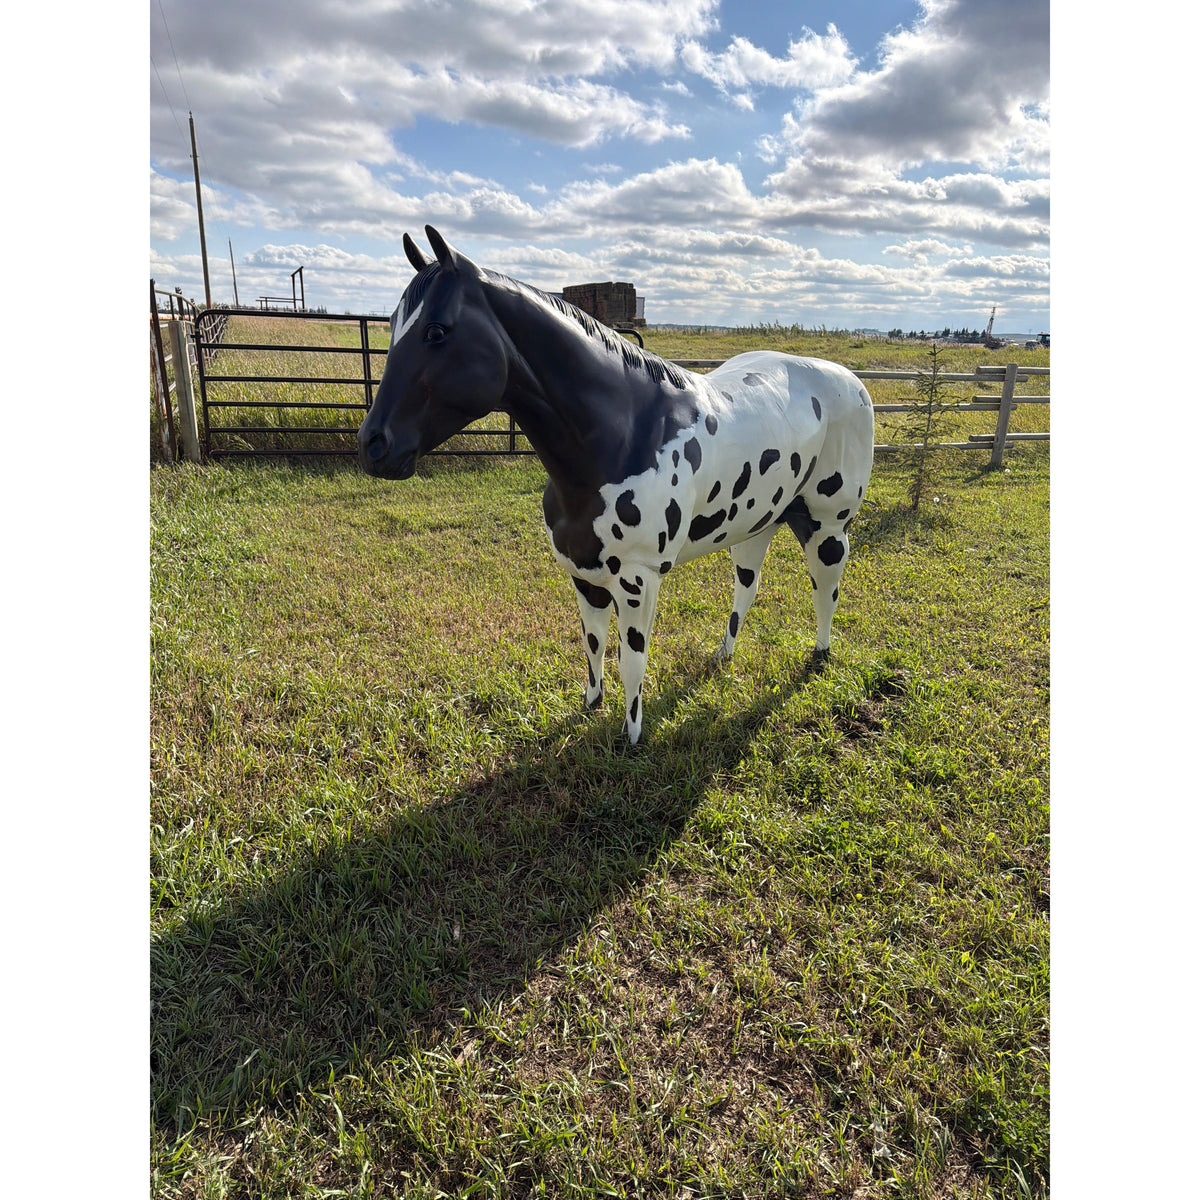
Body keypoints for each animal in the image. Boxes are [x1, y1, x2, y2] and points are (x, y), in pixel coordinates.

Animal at [358, 226, 875, 745]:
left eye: (436, 330)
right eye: (392, 324)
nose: (373, 444)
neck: (622, 437)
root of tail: (851, 382)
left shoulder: (637, 580)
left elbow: (633, 661)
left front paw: (632, 737)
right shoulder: (583, 574)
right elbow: (593, 644)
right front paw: (591, 705)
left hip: (827, 525)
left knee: (826, 585)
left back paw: (820, 654)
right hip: (759, 522)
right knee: (747, 586)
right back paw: (723, 655)